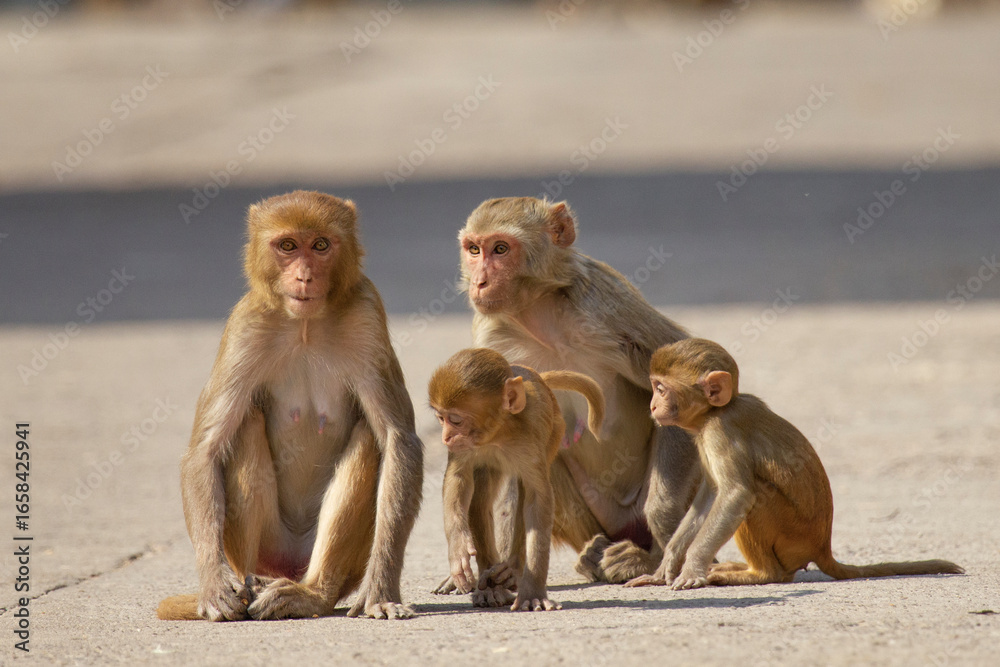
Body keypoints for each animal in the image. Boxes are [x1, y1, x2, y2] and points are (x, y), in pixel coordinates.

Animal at [156, 190, 423, 621]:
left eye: (320, 245)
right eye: (287, 246)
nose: (304, 276)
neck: (305, 325)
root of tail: (289, 567)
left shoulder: (367, 314)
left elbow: (398, 439)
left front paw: (381, 590)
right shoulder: (245, 326)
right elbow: (204, 450)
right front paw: (213, 586)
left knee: (369, 437)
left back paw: (310, 594)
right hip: (263, 550)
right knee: (244, 425)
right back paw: (249, 589)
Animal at [428, 348, 605, 611]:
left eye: (456, 420)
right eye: (441, 419)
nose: (446, 437)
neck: (498, 433)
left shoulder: (532, 435)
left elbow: (537, 498)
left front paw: (532, 592)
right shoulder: (466, 448)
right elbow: (457, 478)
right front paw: (458, 550)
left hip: (555, 431)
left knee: (522, 493)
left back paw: (511, 568)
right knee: (480, 496)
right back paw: (489, 586)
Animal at [435, 196, 701, 589]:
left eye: (500, 249)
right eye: (473, 249)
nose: (480, 282)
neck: (540, 316)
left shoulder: (606, 303)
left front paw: (664, 539)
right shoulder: (492, 338)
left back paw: (641, 558)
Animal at [626, 338, 963, 590]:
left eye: (661, 388)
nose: (652, 405)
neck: (713, 412)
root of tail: (823, 547)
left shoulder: (721, 431)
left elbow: (735, 495)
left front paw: (691, 571)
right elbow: (709, 497)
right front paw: (666, 565)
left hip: (793, 538)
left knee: (757, 497)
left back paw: (760, 574)